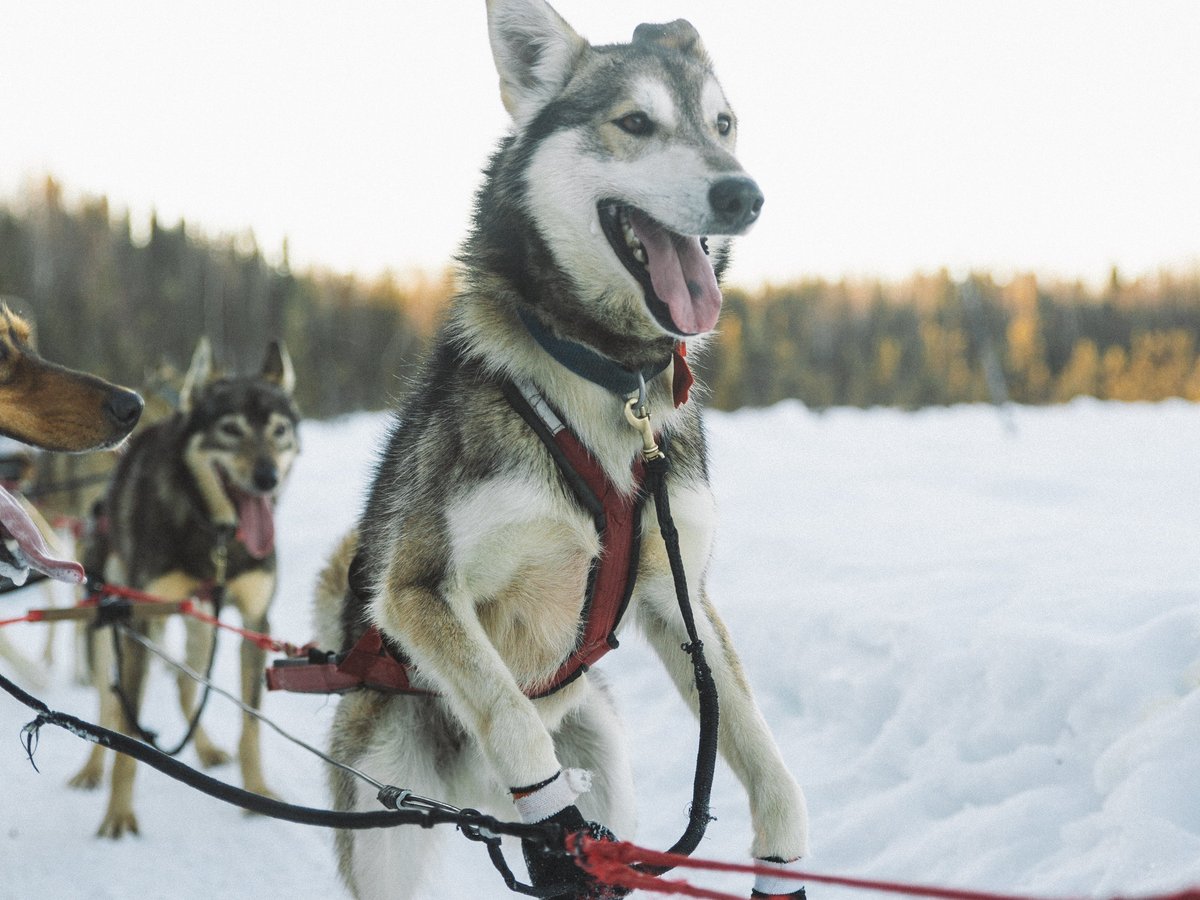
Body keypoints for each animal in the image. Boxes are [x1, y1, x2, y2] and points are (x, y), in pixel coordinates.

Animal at [70, 338, 300, 840]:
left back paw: (206, 748)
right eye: (230, 429)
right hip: (109, 625)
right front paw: (118, 814)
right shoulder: (138, 621)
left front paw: (256, 791)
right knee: (106, 705)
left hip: (204, 626)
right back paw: (91, 769)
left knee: (184, 683)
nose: (267, 477)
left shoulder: (254, 623)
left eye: (278, 430)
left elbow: (250, 723)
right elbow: (126, 734)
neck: (216, 534)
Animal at [316, 3, 806, 897]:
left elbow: (757, 739)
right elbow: (513, 717)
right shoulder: (418, 589)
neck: (602, 372)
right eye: (636, 123)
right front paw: (552, 817)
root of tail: (473, 798)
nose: (743, 193)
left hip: (604, 749)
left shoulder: (677, 597)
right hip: (384, 815)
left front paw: (784, 847)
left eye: (723, 124)